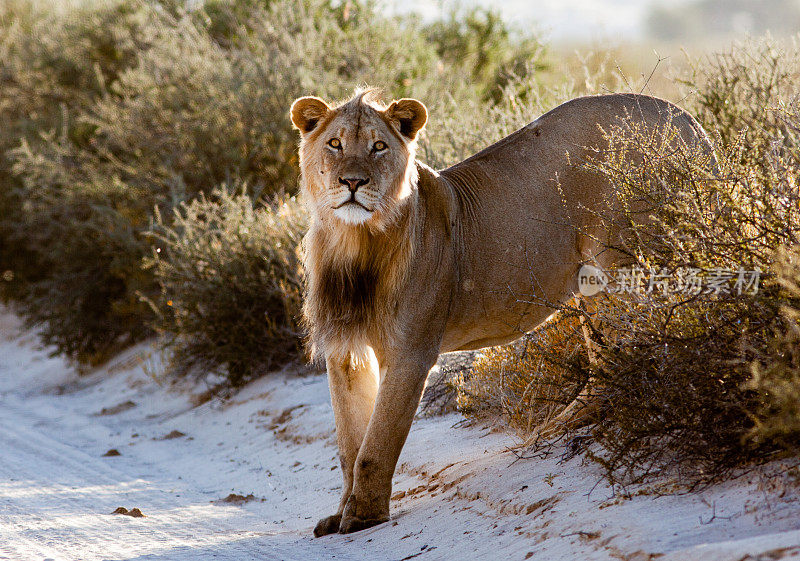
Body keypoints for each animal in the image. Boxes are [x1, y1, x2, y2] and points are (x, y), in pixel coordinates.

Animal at [290, 89, 716, 536]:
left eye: (378, 147)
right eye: (335, 144)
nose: (353, 182)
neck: (354, 242)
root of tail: (687, 118)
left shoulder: (411, 352)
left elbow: (377, 442)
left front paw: (363, 516)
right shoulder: (345, 350)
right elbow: (349, 445)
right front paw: (341, 511)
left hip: (625, 262)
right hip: (595, 284)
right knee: (607, 363)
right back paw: (555, 430)